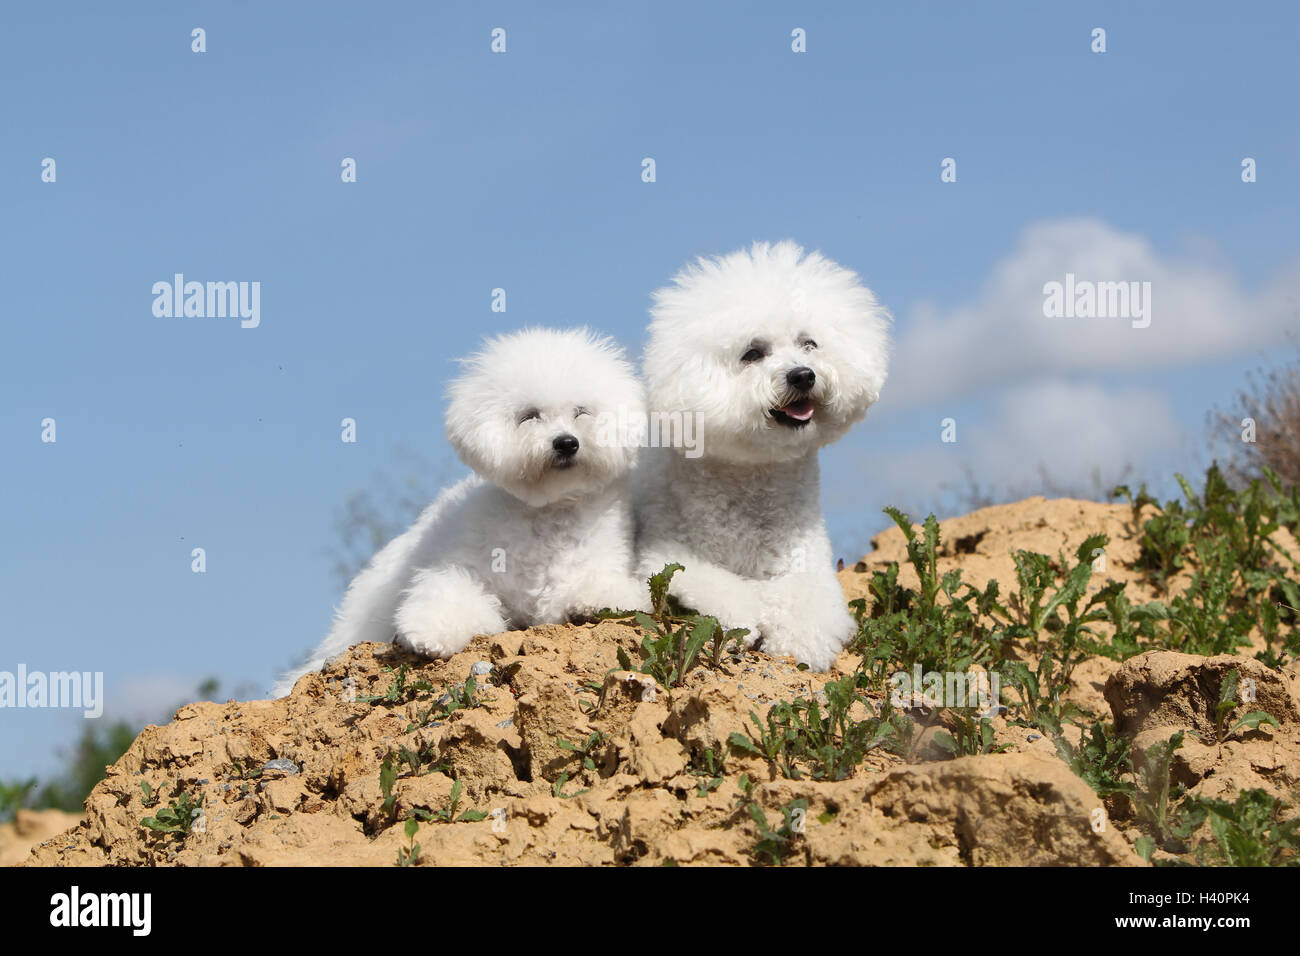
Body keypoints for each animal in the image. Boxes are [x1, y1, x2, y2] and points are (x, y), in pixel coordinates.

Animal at [271, 327, 647, 697]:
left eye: (581, 411)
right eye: (529, 415)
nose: (566, 442)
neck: (548, 513)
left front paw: (592, 600)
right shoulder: (465, 568)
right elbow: (450, 592)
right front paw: (430, 630)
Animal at [631, 240, 894, 671]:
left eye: (809, 343)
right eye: (753, 353)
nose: (803, 375)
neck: (755, 481)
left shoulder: (808, 566)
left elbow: (808, 602)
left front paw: (802, 642)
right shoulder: (667, 556)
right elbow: (722, 588)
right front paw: (748, 617)